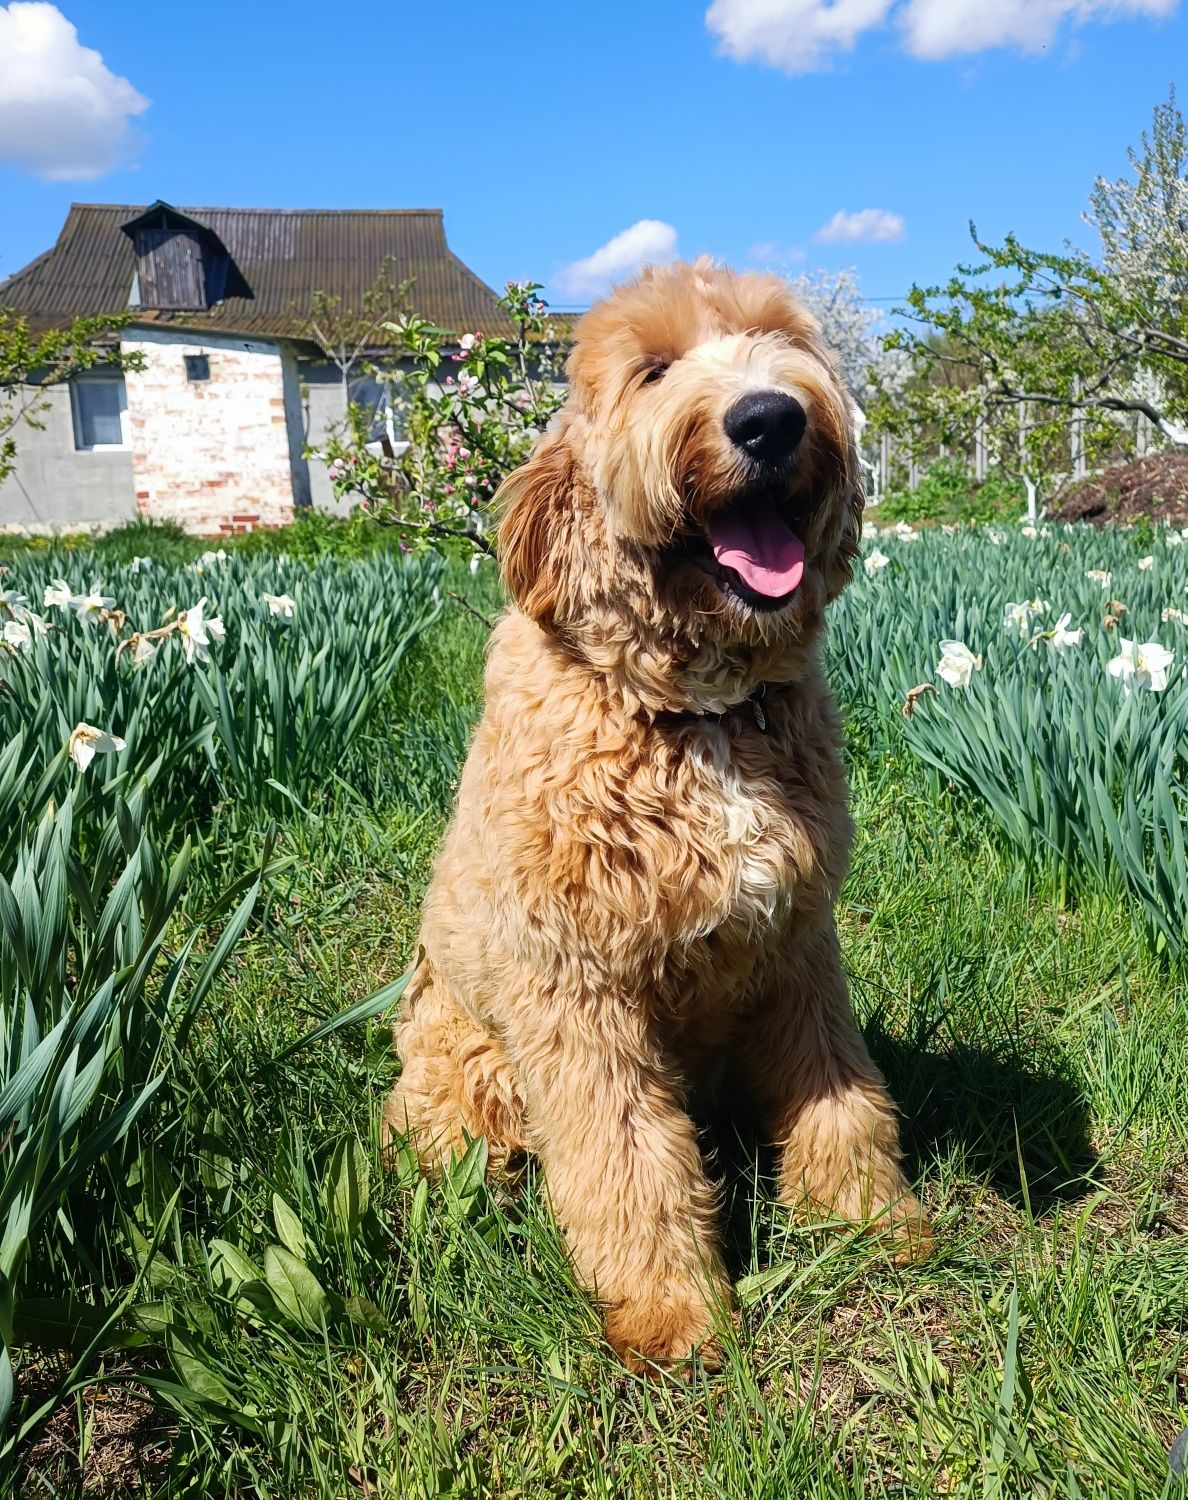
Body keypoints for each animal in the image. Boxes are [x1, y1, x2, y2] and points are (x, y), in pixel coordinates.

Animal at [384, 261, 930, 1374]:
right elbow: (626, 1159)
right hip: (465, 1065)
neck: (698, 715)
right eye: (653, 368)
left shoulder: (799, 945)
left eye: (782, 338)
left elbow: (842, 1092)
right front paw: (672, 1312)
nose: (768, 417)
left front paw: (868, 1217)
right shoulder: (580, 992)